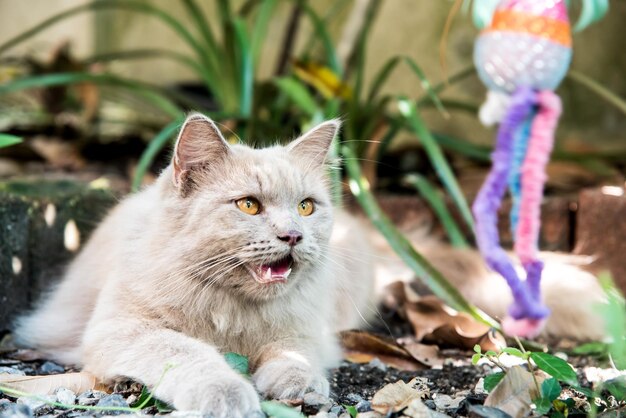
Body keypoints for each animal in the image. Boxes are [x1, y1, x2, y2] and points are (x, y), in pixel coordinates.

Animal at [9, 112, 604, 416]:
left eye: (306, 207)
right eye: (249, 206)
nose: (292, 235)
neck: (232, 311)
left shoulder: (304, 334)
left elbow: (294, 359)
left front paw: (298, 390)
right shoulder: (122, 331)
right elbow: (188, 352)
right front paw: (231, 394)